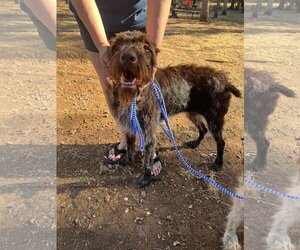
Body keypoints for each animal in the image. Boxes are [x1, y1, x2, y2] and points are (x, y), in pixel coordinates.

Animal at [107, 30, 241, 188]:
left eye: (146, 47)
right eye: (118, 44)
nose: (128, 57)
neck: (135, 97)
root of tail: (225, 82)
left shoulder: (148, 131)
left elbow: (147, 158)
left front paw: (146, 177)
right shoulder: (129, 125)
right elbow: (129, 146)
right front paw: (127, 160)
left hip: (215, 119)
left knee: (221, 142)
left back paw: (218, 163)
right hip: (193, 113)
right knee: (203, 129)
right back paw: (195, 143)